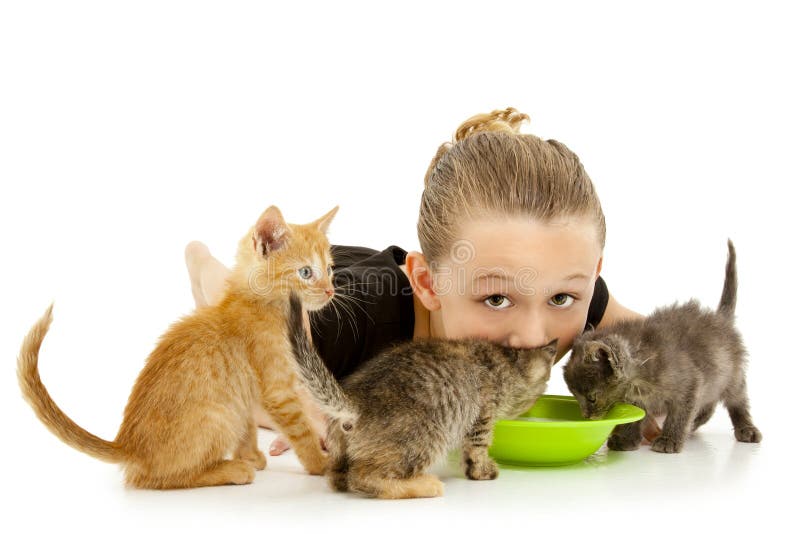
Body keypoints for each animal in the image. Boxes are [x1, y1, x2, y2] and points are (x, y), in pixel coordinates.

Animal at [18, 205, 338, 490]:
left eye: (329, 270)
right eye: (306, 272)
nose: (330, 291)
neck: (264, 306)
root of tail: (128, 446)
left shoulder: (247, 395)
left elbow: (248, 428)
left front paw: (251, 455)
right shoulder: (278, 390)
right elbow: (303, 431)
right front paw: (320, 464)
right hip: (218, 415)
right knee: (154, 478)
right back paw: (231, 470)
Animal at [286, 292, 556, 500]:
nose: (533, 405)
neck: (502, 362)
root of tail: (355, 399)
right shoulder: (481, 414)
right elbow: (478, 448)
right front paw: (483, 471)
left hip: (340, 449)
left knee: (337, 478)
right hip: (425, 437)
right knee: (363, 477)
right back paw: (424, 485)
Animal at [564, 241, 764, 454]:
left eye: (592, 398)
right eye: (576, 396)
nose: (586, 417)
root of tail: (721, 318)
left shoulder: (691, 384)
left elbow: (680, 414)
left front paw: (669, 440)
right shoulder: (637, 398)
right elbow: (636, 418)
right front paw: (626, 439)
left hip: (732, 377)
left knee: (738, 402)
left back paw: (746, 429)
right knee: (709, 406)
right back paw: (695, 424)